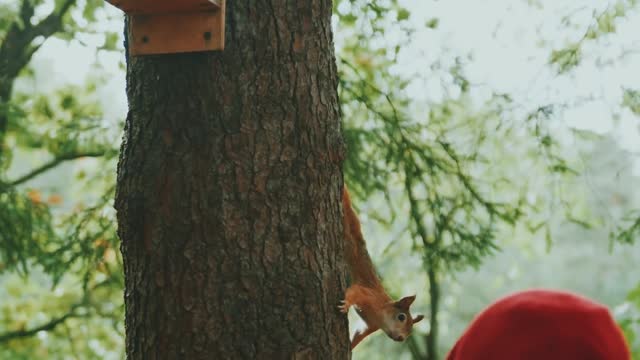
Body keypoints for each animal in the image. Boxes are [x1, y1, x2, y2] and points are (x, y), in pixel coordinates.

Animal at [338, 187, 422, 350]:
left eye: (410, 331)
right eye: (401, 317)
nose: (401, 338)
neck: (380, 313)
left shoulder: (370, 326)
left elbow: (358, 335)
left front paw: (350, 348)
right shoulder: (369, 295)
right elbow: (355, 291)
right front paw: (346, 304)